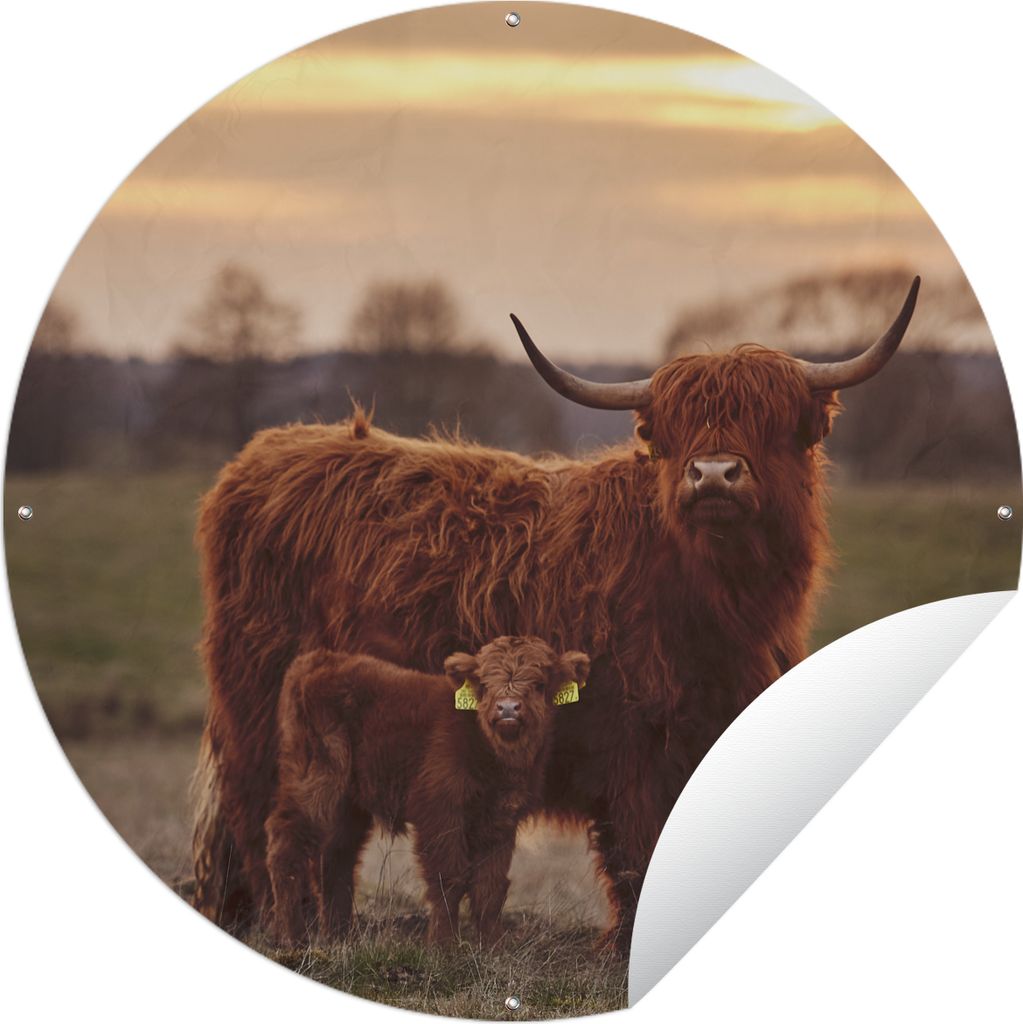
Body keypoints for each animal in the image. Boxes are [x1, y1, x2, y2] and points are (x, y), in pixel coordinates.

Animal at [265, 638, 589, 946]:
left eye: (539, 684)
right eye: (484, 684)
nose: (507, 707)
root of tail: (318, 660)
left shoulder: (501, 820)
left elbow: (490, 887)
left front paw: (493, 946)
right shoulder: (440, 811)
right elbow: (449, 878)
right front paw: (443, 945)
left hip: (347, 803)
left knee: (336, 857)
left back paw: (339, 936)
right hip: (316, 779)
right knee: (286, 842)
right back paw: (291, 936)